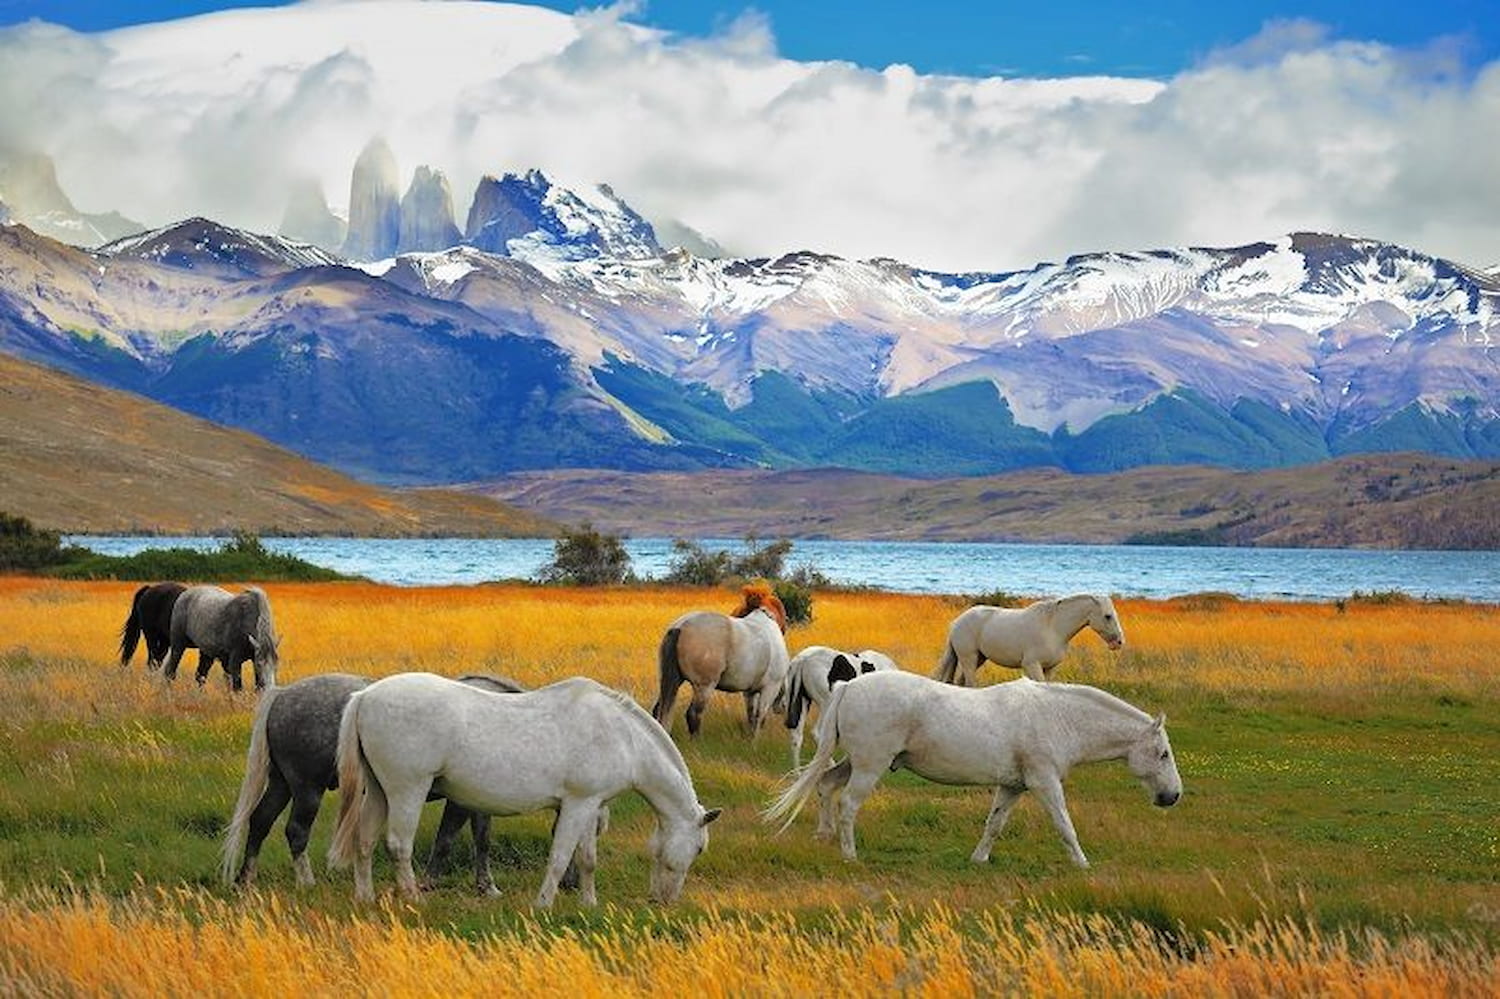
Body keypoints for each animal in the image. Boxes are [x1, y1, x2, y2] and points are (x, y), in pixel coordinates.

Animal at [221, 671, 557, 893]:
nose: (566, 884)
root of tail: (283, 694)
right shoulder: (461, 802)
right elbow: (446, 839)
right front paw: (427, 883)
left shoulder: (481, 800)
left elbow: (482, 840)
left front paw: (486, 887)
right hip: (307, 788)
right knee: (296, 831)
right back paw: (306, 882)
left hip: (282, 783)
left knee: (260, 821)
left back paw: (245, 880)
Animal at [327, 673, 720, 907]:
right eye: (699, 848)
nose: (664, 900)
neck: (624, 736)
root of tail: (366, 695)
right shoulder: (577, 805)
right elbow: (560, 857)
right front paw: (543, 904)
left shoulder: (590, 805)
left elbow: (586, 859)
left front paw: (588, 904)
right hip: (407, 790)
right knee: (398, 845)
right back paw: (413, 898)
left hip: (379, 791)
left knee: (364, 840)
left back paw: (365, 897)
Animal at [651, 582, 791, 737]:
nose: (783, 708)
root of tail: (680, 626)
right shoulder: (770, 688)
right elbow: (760, 717)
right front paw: (755, 740)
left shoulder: (749, 692)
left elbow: (751, 715)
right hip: (704, 686)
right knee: (693, 714)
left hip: (673, 680)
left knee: (658, 709)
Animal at [765, 671, 1181, 868]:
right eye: (1163, 754)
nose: (1172, 796)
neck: (1057, 717)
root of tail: (848, 686)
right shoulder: (1044, 782)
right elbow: (1065, 825)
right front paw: (1082, 863)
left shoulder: (1013, 786)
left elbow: (994, 824)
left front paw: (979, 859)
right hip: (870, 765)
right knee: (848, 804)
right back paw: (850, 854)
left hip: (856, 761)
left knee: (824, 785)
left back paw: (824, 835)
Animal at [935, 594, 1124, 686]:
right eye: (1107, 616)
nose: (1119, 642)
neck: (1052, 628)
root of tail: (956, 622)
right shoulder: (1032, 665)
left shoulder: (1049, 668)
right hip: (969, 658)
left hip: (979, 659)